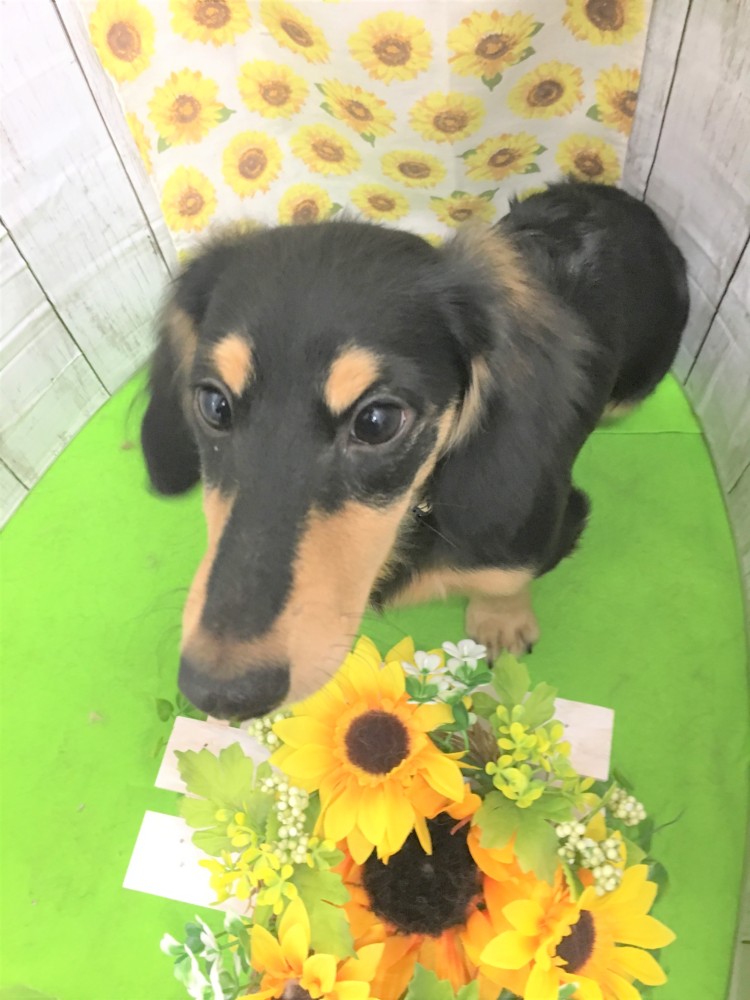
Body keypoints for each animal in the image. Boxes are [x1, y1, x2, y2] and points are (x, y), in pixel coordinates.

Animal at [141, 181, 688, 720]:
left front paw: (501, 622)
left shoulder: (544, 527)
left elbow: (506, 578)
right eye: (213, 404)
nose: (220, 693)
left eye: (377, 421)